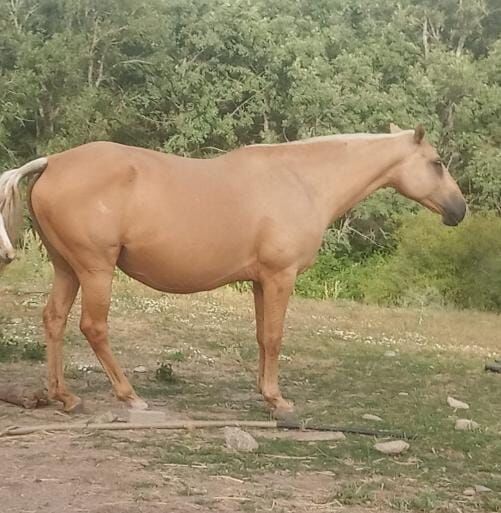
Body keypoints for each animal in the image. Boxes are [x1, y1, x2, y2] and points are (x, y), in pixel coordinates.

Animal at [0, 125, 464, 416]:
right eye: (437, 162)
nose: (459, 210)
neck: (303, 180)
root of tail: (52, 163)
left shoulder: (261, 282)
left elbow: (261, 337)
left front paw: (265, 393)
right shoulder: (280, 277)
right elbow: (274, 338)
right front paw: (279, 401)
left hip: (68, 268)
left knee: (54, 320)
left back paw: (65, 397)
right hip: (96, 269)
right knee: (93, 327)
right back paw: (130, 396)